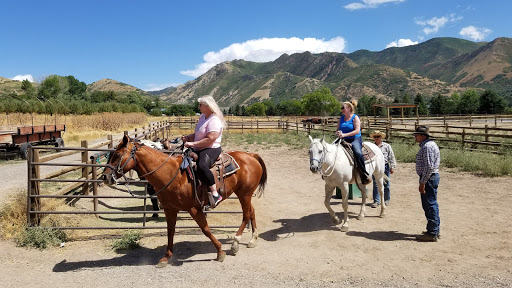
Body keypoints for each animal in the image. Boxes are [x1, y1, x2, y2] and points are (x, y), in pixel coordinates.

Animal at [102, 136, 266, 266]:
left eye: (117, 154)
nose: (105, 177)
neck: (171, 174)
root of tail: (251, 155)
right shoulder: (170, 209)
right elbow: (170, 231)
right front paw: (166, 257)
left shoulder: (194, 208)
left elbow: (205, 229)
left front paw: (220, 252)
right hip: (244, 194)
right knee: (251, 211)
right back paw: (253, 240)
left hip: (244, 194)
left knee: (246, 215)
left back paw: (235, 243)